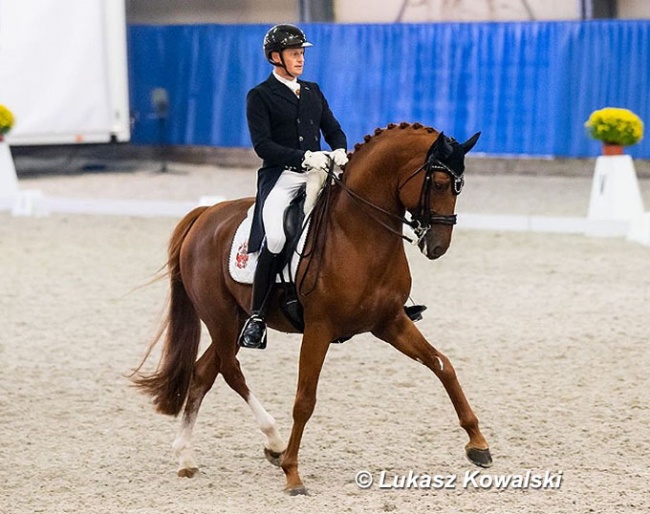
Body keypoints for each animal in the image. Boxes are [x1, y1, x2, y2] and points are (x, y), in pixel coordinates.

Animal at [133, 120, 492, 492]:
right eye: (439, 183)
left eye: (459, 187)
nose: (437, 247)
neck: (358, 235)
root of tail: (204, 215)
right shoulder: (319, 329)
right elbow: (304, 400)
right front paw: (292, 473)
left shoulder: (390, 322)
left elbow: (442, 365)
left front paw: (478, 444)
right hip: (221, 319)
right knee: (230, 371)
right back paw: (275, 442)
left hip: (236, 321)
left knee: (204, 372)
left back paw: (187, 457)